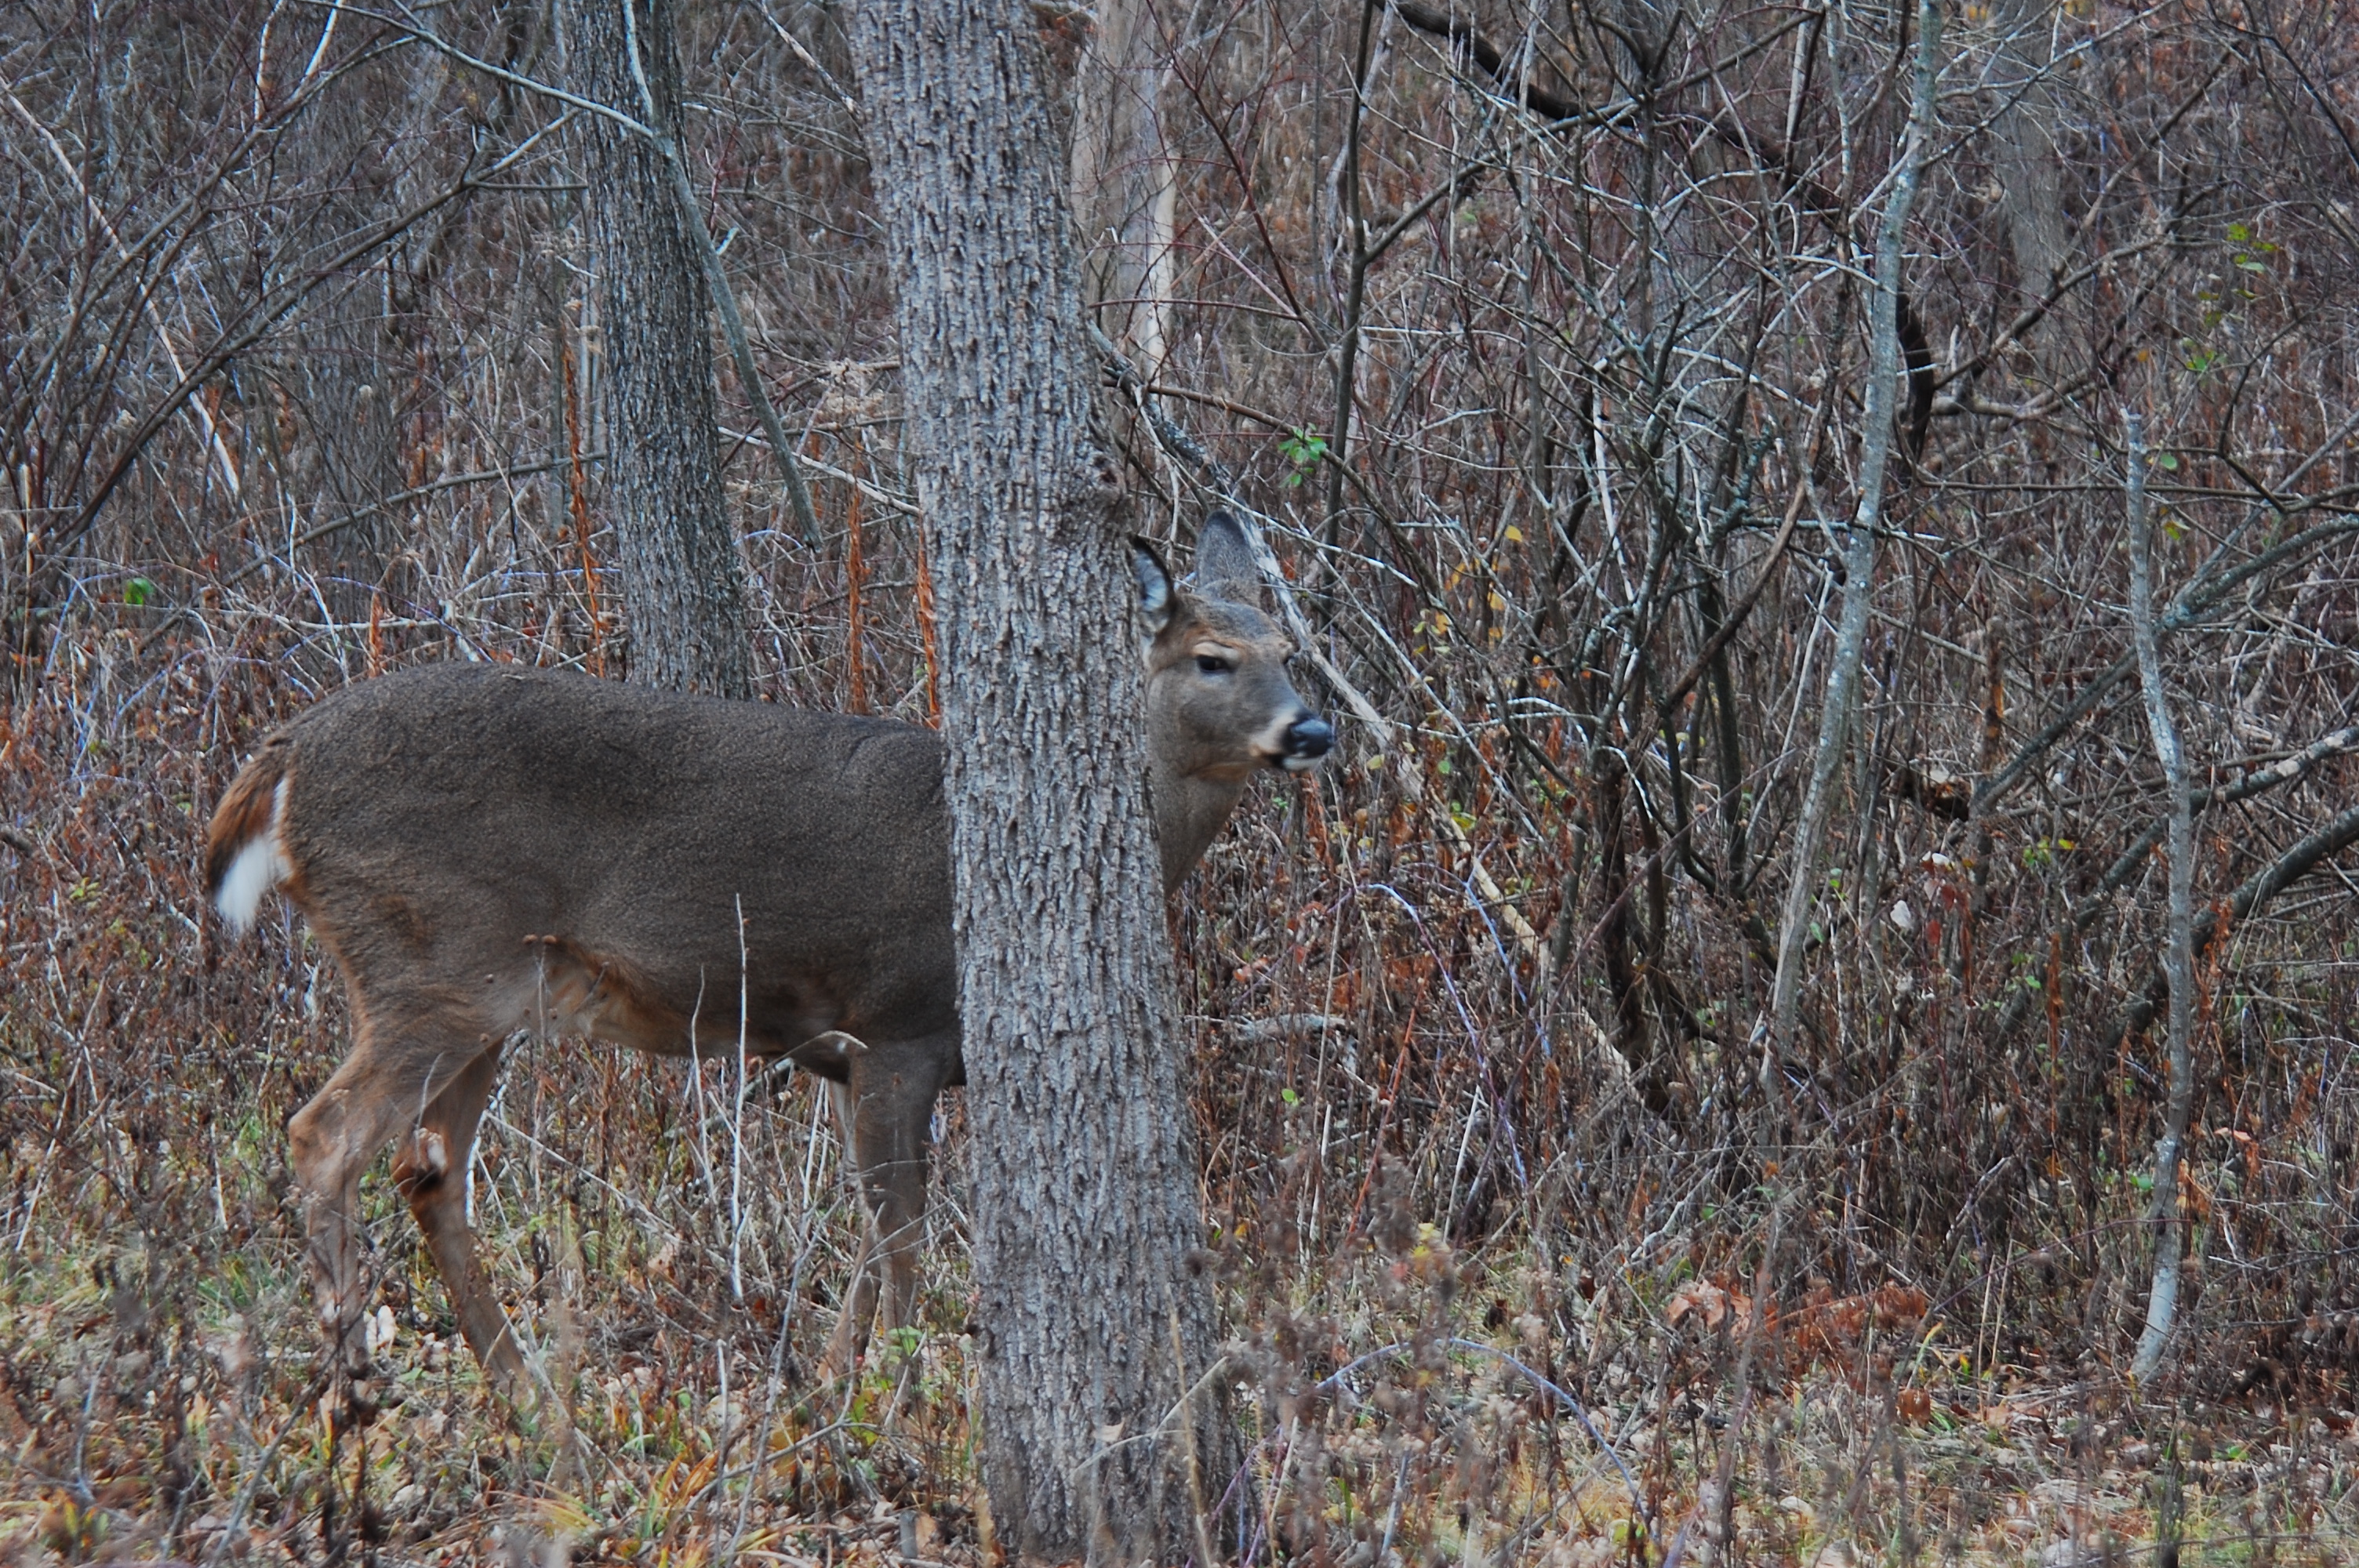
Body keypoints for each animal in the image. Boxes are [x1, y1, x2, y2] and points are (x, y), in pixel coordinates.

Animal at [204, 513, 1332, 1418]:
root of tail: (281, 759)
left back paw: (521, 1388)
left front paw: (835, 1379)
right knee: (323, 1136)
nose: (1312, 727)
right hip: (428, 962)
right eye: (1212, 658)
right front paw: (899, 1398)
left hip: (487, 998)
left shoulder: (842, 1054)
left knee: (428, 1170)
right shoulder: (899, 1024)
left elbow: (871, 1239)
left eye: (1291, 649)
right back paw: (356, 1381)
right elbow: (902, 1237)